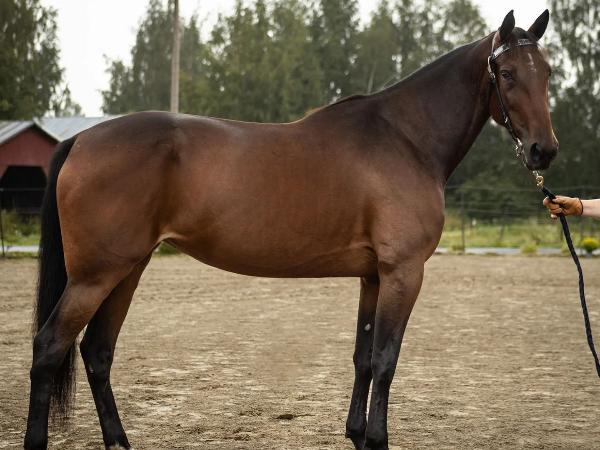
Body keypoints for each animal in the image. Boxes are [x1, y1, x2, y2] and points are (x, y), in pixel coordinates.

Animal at [25, 9, 557, 450]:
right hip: (95, 276)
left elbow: (364, 357)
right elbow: (386, 360)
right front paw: (378, 440)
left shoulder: (373, 276)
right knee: (50, 347)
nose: (543, 151)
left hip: (127, 269)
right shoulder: (403, 272)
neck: (405, 138)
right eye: (506, 73)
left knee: (97, 351)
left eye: (549, 72)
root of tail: (81, 139)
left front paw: (358, 435)